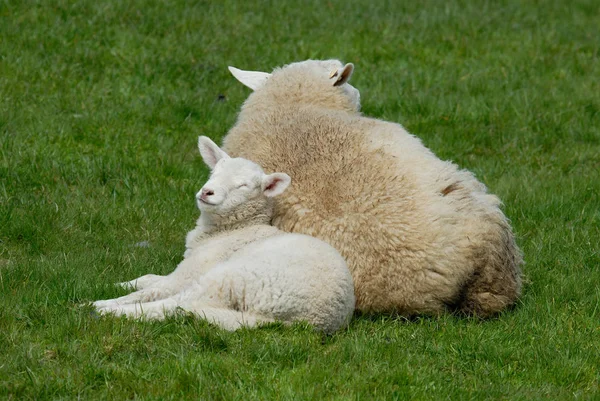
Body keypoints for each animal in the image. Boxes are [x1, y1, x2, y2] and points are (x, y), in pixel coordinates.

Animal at [92, 136, 356, 332]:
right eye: (213, 173)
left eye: (243, 186)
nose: (206, 192)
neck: (235, 229)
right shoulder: (187, 269)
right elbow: (147, 278)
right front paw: (115, 283)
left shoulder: (192, 272)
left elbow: (152, 290)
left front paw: (106, 297)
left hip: (232, 278)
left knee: (174, 304)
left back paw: (105, 309)